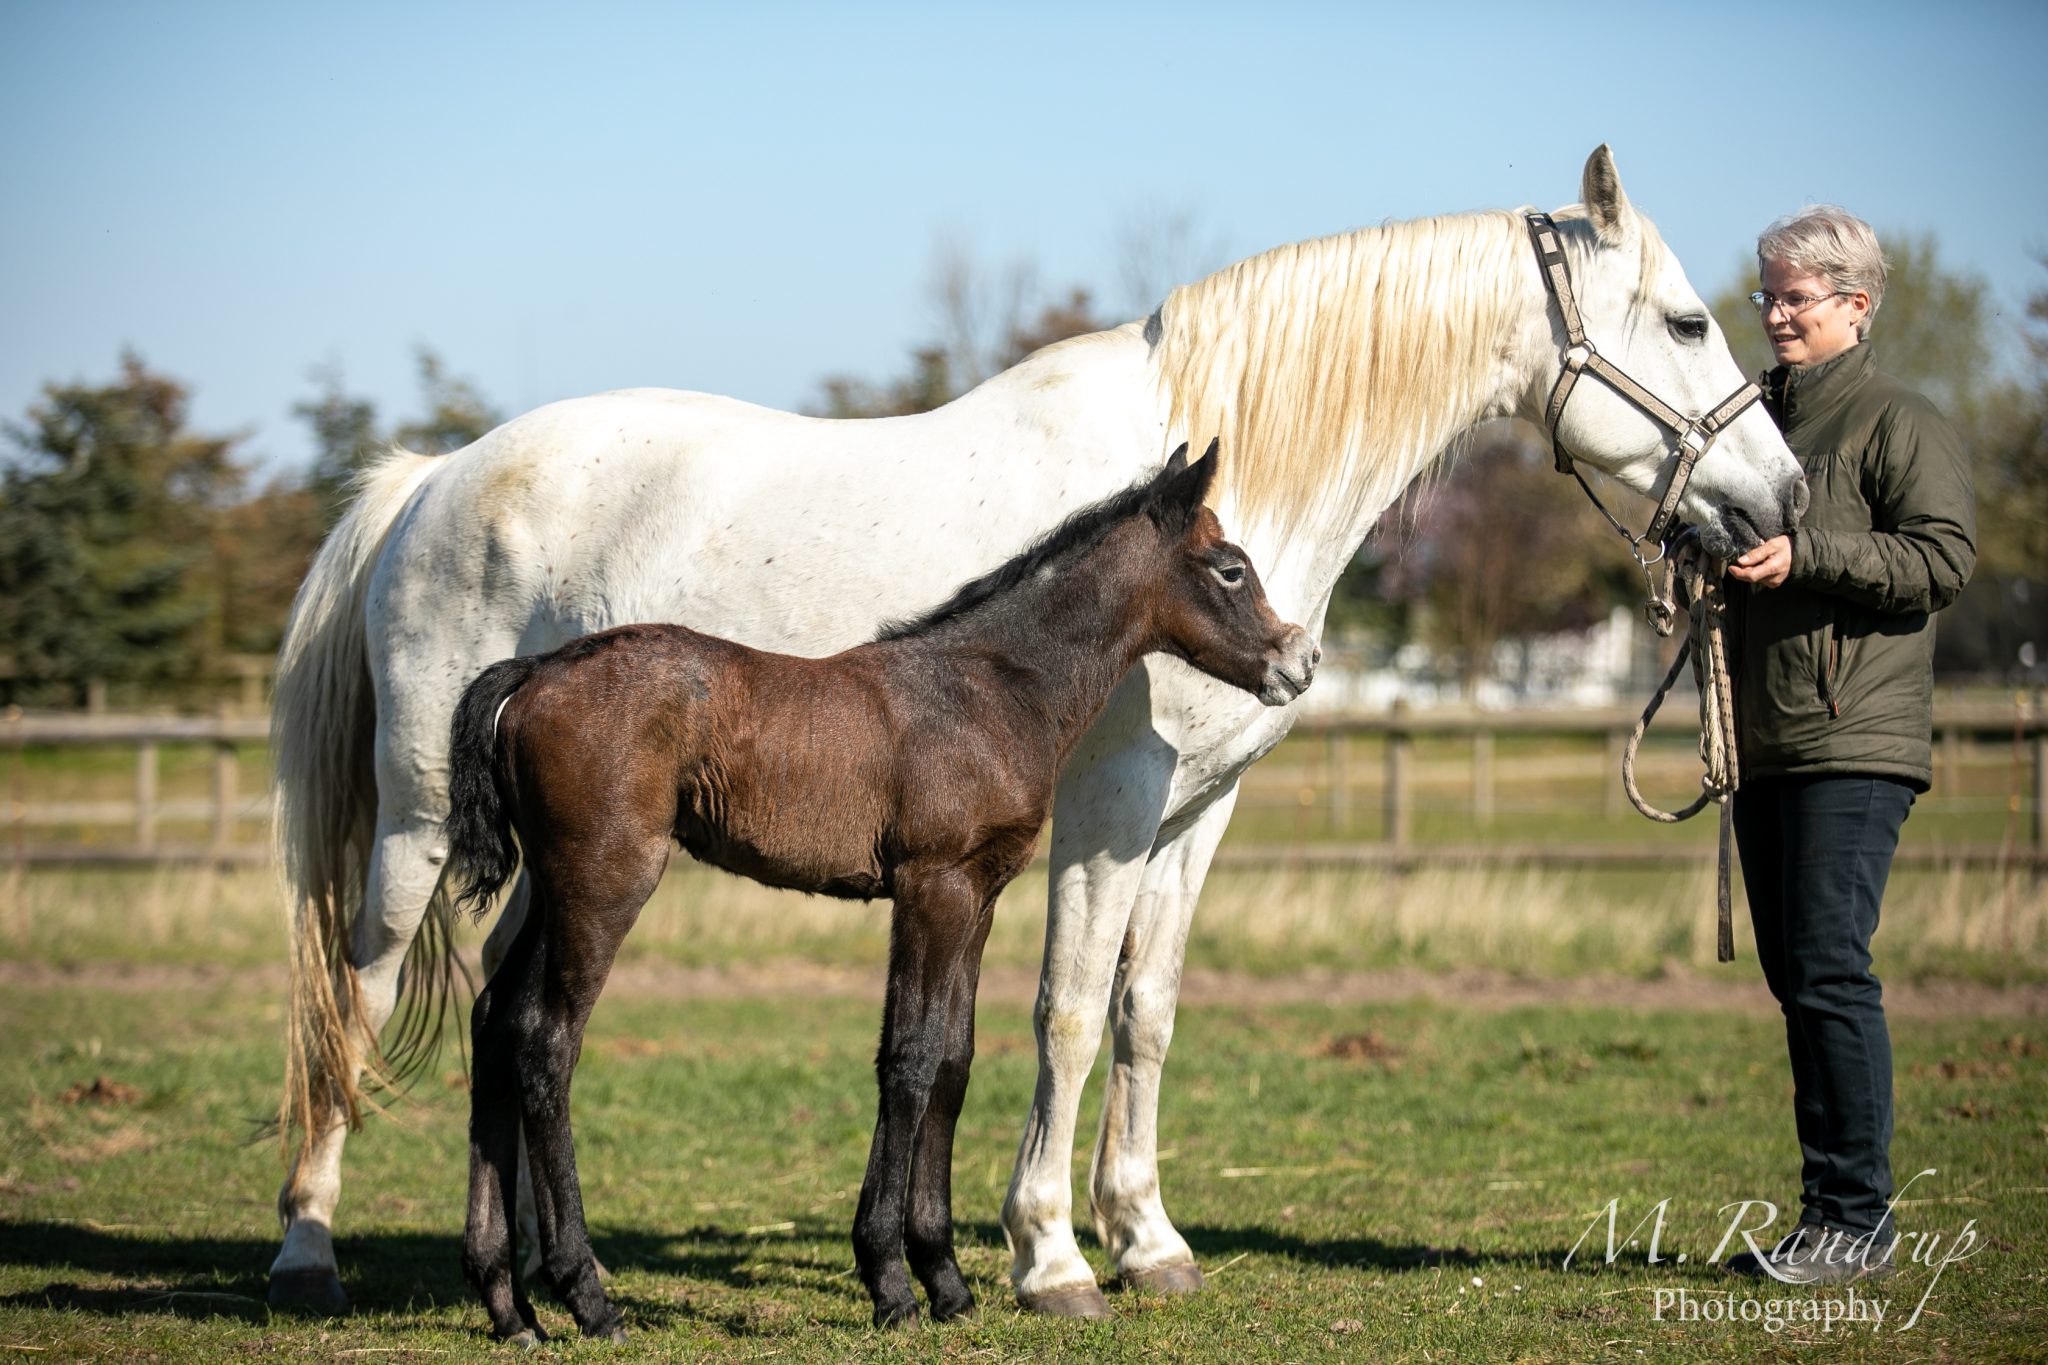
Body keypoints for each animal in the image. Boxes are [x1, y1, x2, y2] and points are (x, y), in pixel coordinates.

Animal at [444, 439, 1327, 1342]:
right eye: (1230, 568)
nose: (1299, 660)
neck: (990, 687)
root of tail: (533, 673)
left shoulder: (979, 894)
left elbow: (952, 1060)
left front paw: (946, 1279)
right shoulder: (931, 886)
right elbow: (907, 1057)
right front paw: (893, 1283)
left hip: (553, 886)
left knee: (494, 1019)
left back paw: (508, 1304)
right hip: (604, 880)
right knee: (546, 1041)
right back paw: (587, 1294)